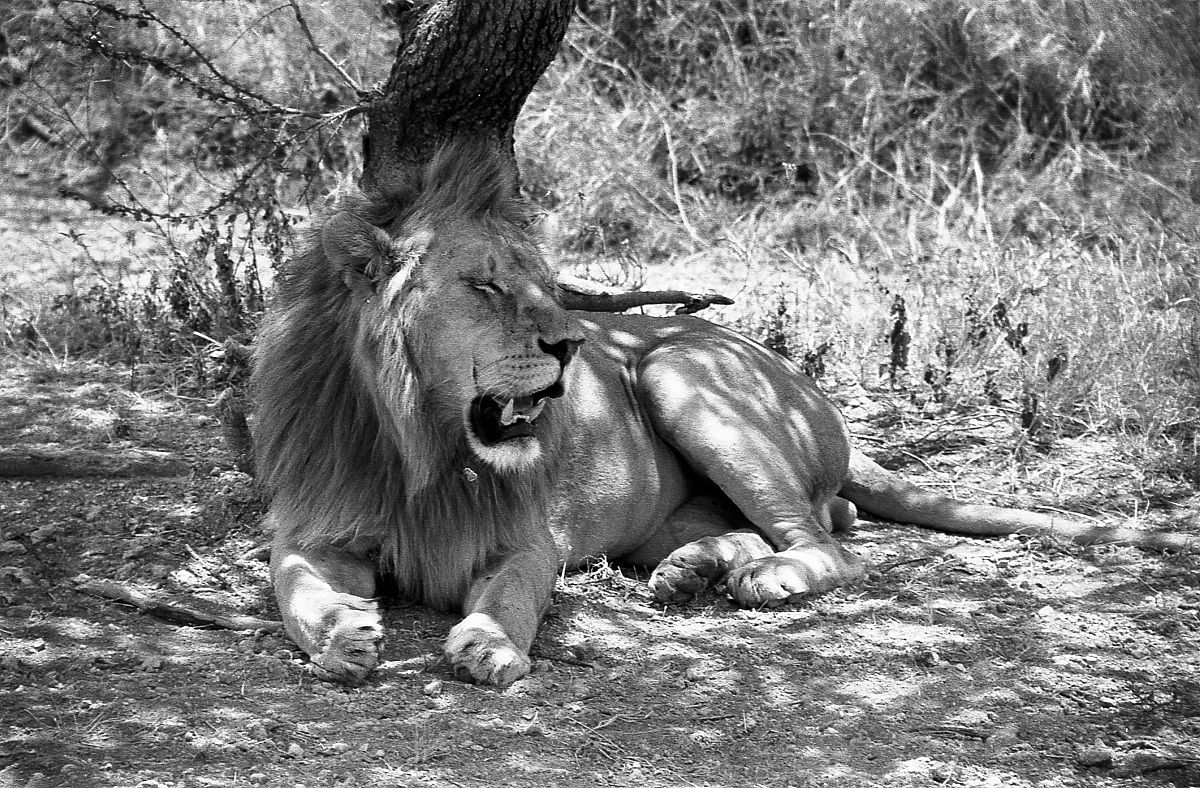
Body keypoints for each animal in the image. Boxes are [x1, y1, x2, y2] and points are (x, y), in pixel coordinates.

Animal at [252, 140, 1192, 687]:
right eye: (483, 286)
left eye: (543, 283)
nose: (571, 345)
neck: (419, 443)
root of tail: (820, 399)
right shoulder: (313, 527)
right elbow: (294, 588)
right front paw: (343, 636)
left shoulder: (527, 538)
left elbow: (516, 593)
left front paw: (489, 645)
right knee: (804, 523)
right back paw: (694, 569)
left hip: (681, 372)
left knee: (832, 541)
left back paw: (762, 578)